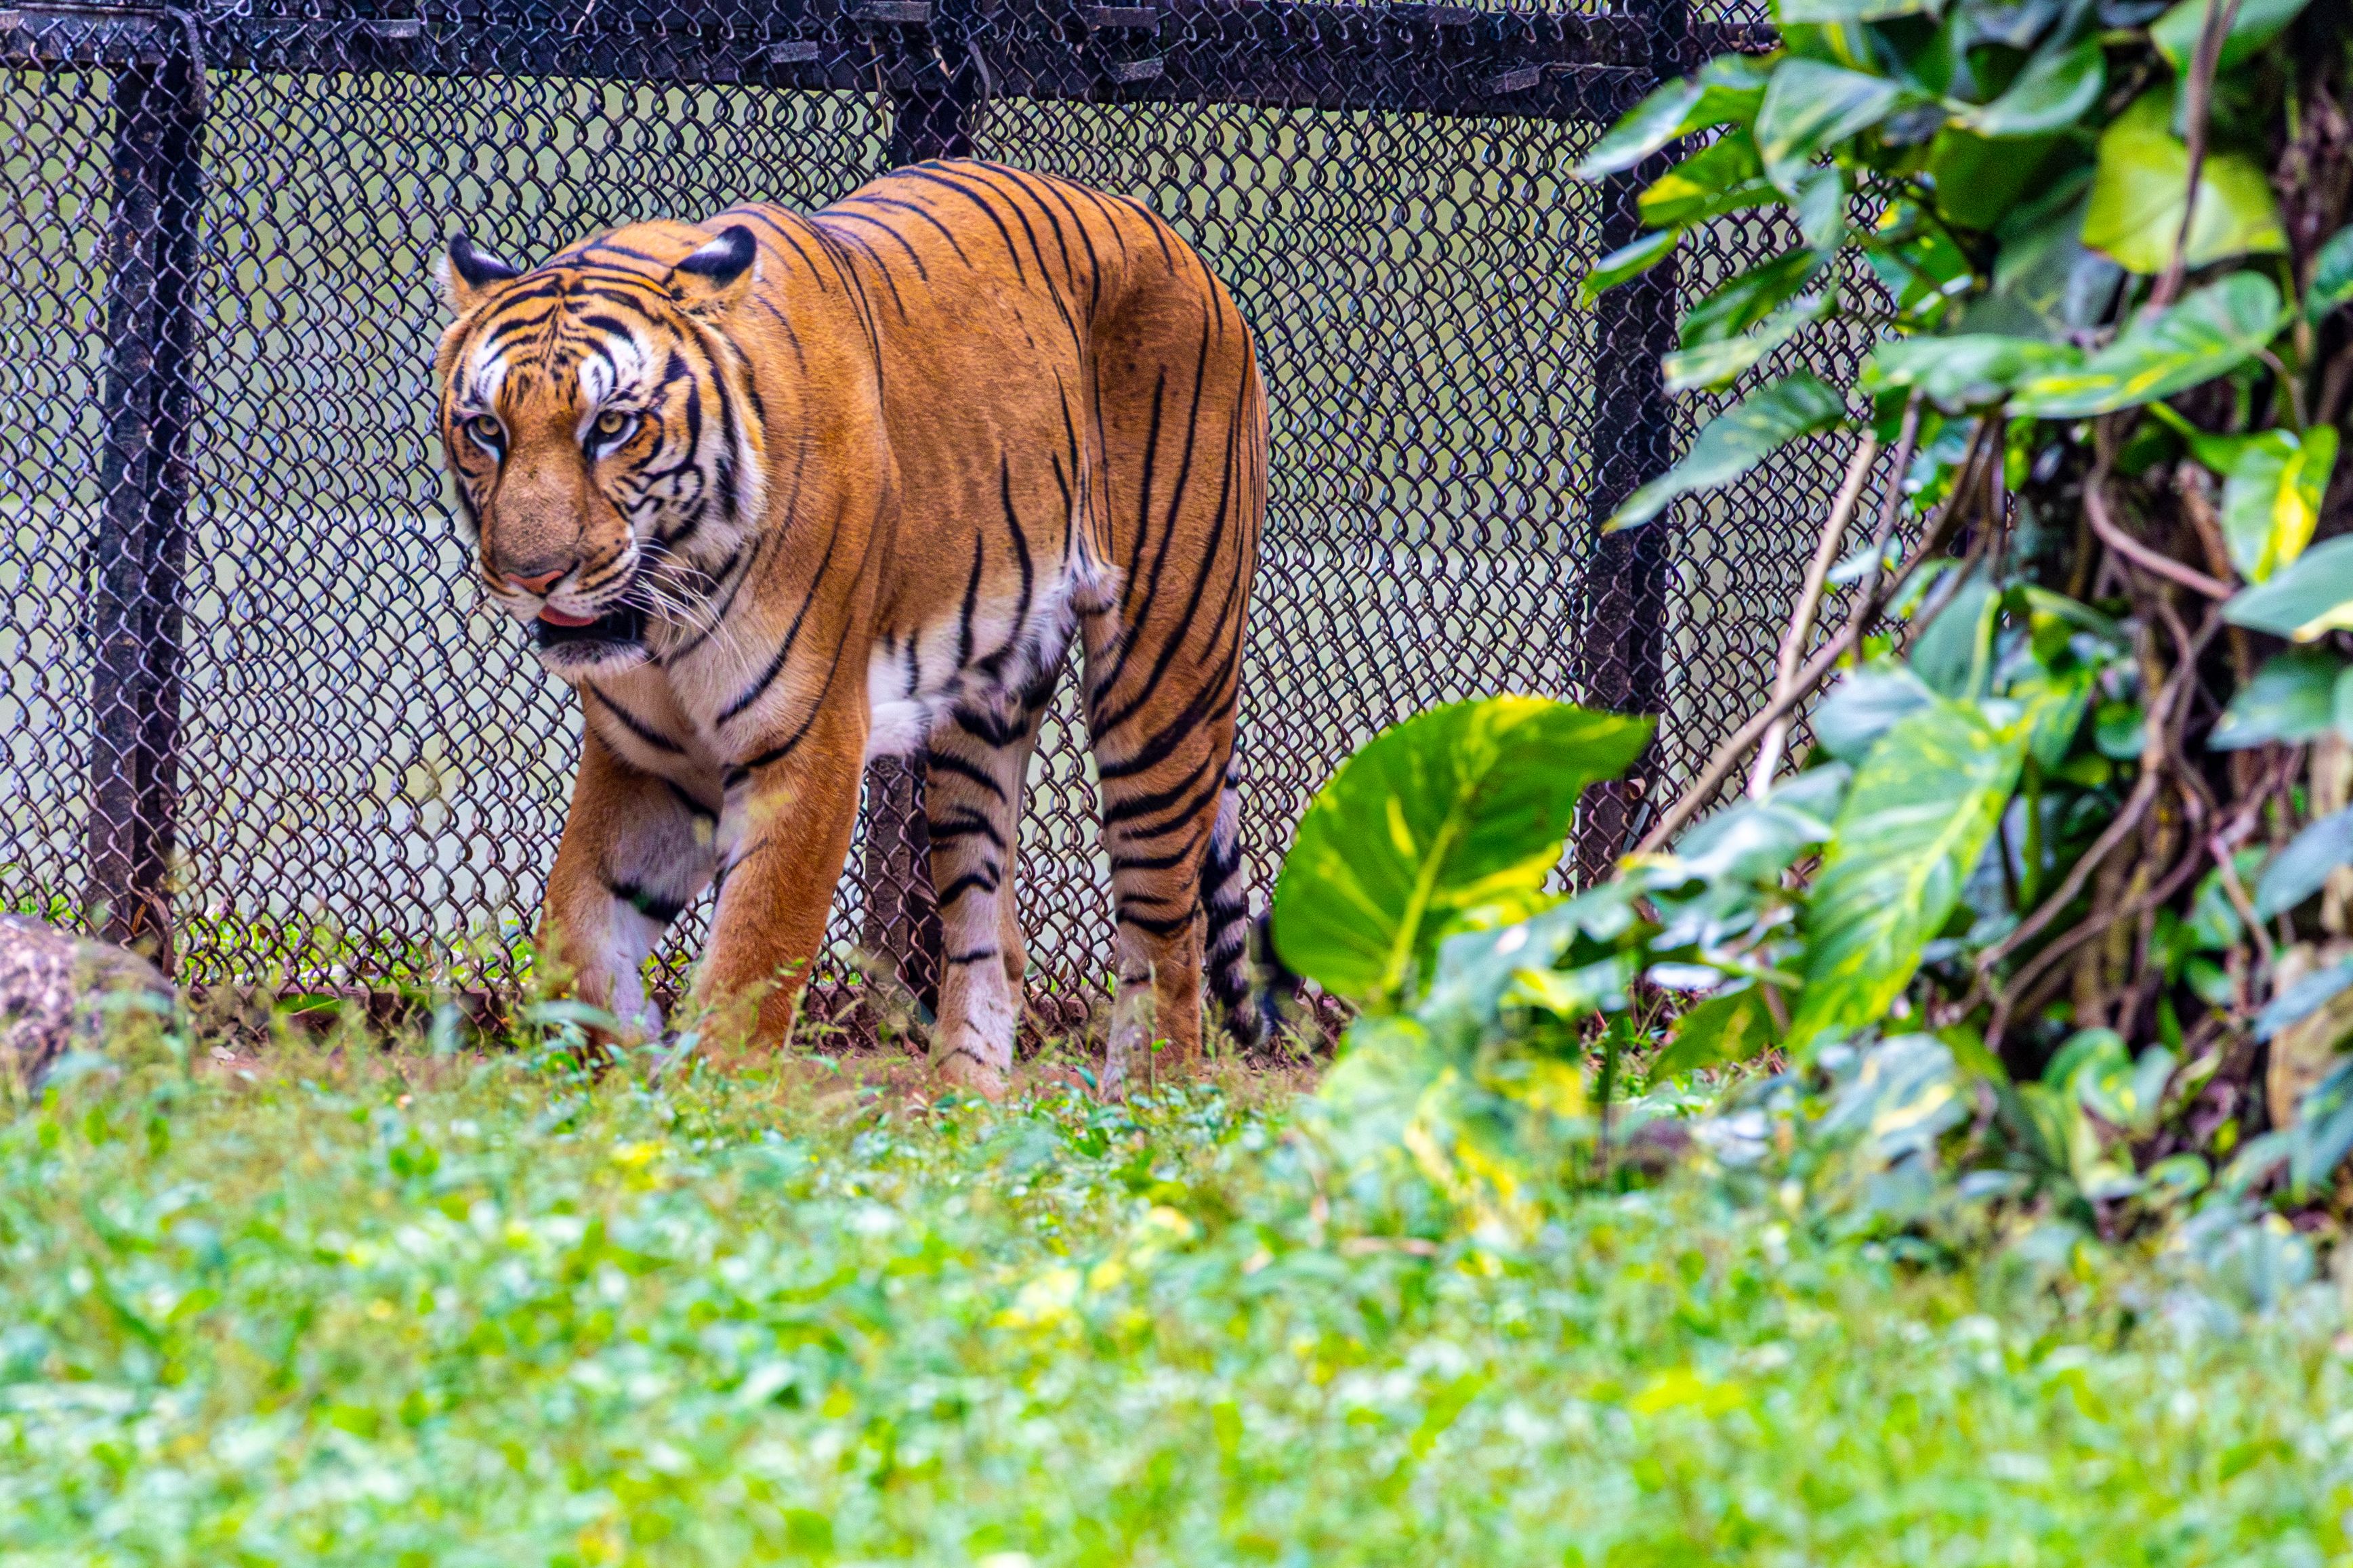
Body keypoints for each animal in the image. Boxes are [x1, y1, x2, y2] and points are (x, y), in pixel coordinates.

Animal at [431, 159, 1273, 1098]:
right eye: (486, 429)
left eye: (610, 425)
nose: (531, 574)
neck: (667, 613)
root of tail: (1179, 248)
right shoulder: (650, 761)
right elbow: (574, 937)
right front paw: (628, 1064)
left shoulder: (808, 744)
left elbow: (750, 961)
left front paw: (704, 1103)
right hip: (977, 718)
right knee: (993, 936)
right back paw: (961, 1101)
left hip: (1163, 674)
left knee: (1167, 934)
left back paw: (1143, 1104)